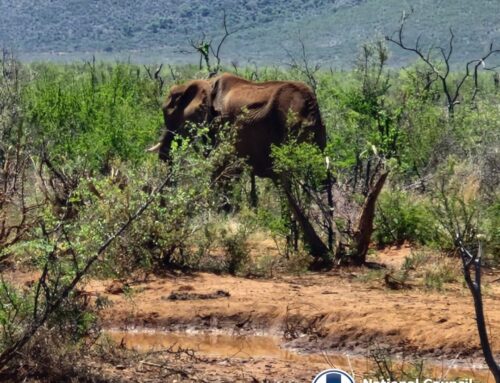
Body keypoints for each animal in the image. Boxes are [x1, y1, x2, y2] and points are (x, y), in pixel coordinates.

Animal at [148, 73, 332, 260]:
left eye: (169, 112)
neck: (205, 82)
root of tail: (309, 105)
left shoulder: (221, 125)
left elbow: (220, 169)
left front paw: (220, 220)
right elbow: (231, 172)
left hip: (287, 128)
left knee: (284, 181)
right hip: (318, 133)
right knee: (323, 179)